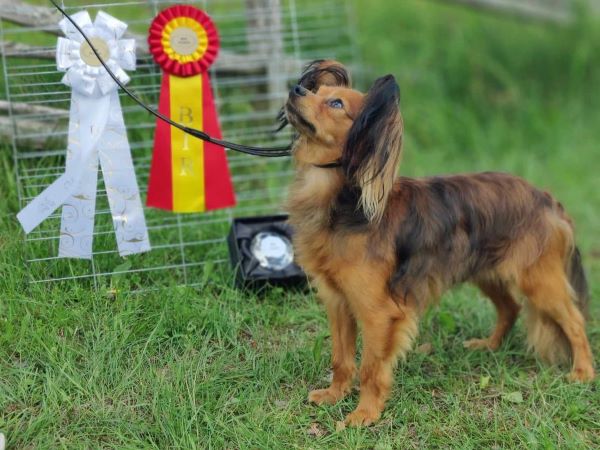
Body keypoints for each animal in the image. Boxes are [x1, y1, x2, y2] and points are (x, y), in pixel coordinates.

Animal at [281, 60, 595, 426]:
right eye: (317, 91)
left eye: (335, 103)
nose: (296, 89)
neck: (345, 200)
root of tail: (546, 198)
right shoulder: (338, 302)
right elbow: (341, 358)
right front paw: (335, 395)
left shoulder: (378, 313)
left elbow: (371, 368)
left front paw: (364, 414)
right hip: (487, 272)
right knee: (510, 307)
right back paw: (490, 345)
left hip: (537, 282)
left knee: (574, 321)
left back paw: (583, 372)